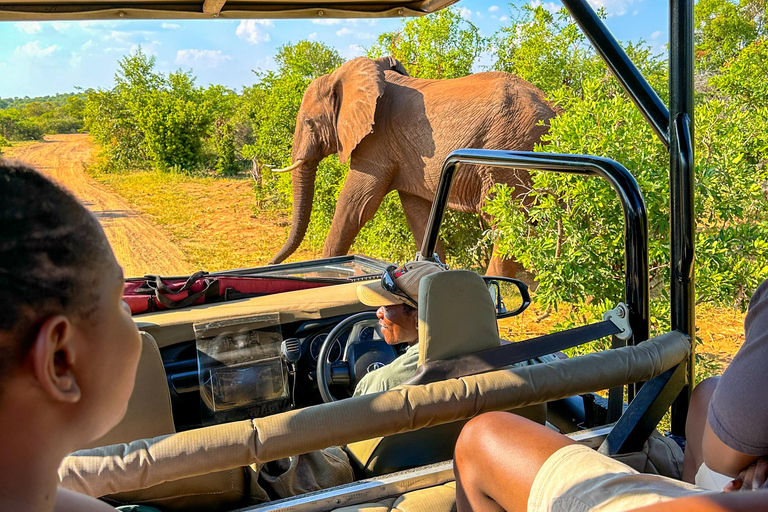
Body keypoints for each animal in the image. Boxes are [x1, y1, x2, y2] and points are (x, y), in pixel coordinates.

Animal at [270, 56, 560, 276]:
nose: (271, 264)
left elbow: (356, 204)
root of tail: (555, 109)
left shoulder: (376, 141)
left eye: (309, 122)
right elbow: (418, 214)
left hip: (510, 153)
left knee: (507, 222)